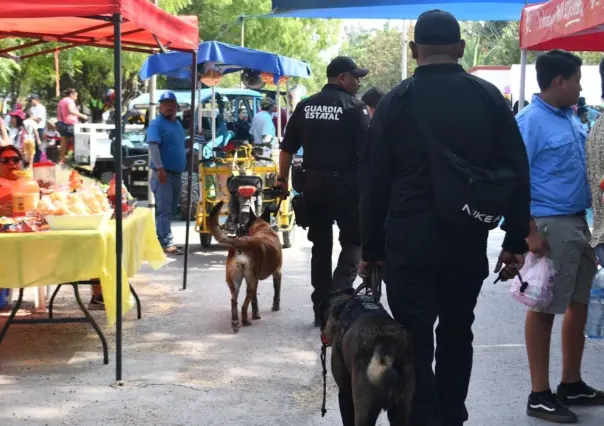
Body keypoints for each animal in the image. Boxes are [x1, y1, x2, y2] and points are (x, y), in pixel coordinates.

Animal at [208, 201, 284, 334]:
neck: (262, 228)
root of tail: (241, 243)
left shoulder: (257, 279)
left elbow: (254, 301)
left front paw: (256, 314)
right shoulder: (277, 273)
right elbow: (276, 293)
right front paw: (275, 307)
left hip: (236, 282)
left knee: (234, 301)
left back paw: (235, 322)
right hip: (251, 281)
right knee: (244, 304)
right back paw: (245, 321)